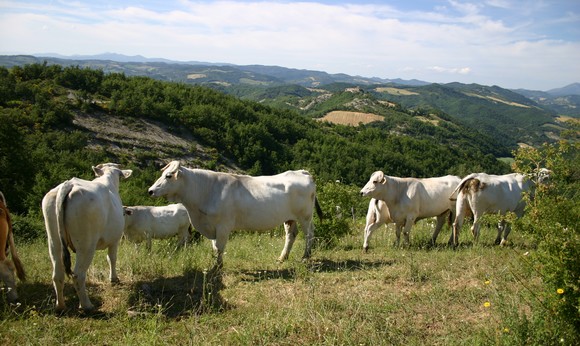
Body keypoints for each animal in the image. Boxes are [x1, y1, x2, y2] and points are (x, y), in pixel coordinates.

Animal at [41, 162, 131, 310]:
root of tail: (68, 184)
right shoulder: (115, 239)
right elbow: (112, 258)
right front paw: (114, 279)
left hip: (53, 240)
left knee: (57, 274)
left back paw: (60, 306)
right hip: (86, 244)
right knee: (78, 275)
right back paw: (86, 305)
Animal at [147, 161, 324, 266]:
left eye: (168, 175)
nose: (150, 191)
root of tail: (302, 172)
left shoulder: (223, 226)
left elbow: (219, 247)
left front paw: (218, 267)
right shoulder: (212, 226)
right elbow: (214, 247)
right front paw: (215, 264)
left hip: (305, 216)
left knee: (309, 234)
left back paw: (305, 256)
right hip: (289, 218)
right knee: (291, 235)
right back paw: (282, 257)